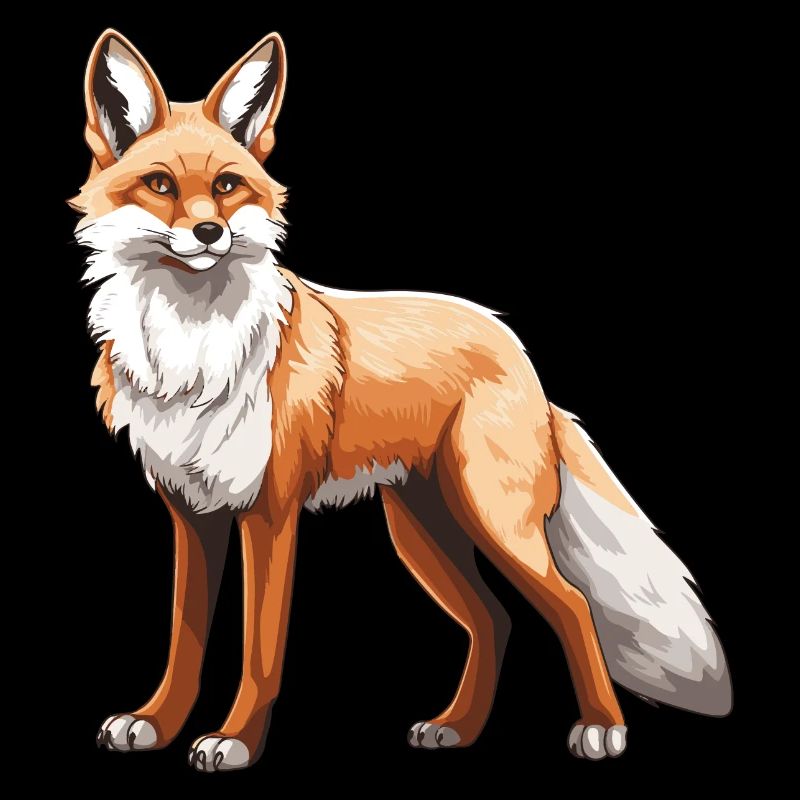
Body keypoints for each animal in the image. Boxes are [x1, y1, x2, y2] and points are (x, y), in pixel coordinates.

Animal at [75, 29, 732, 772]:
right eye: (160, 185)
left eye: (226, 186)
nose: (211, 233)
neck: (194, 356)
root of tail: (520, 352)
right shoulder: (192, 515)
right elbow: (184, 645)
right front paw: (156, 724)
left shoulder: (270, 514)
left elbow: (259, 653)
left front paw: (236, 739)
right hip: (422, 529)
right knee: (495, 620)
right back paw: (458, 728)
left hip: (492, 520)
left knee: (570, 605)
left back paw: (601, 729)